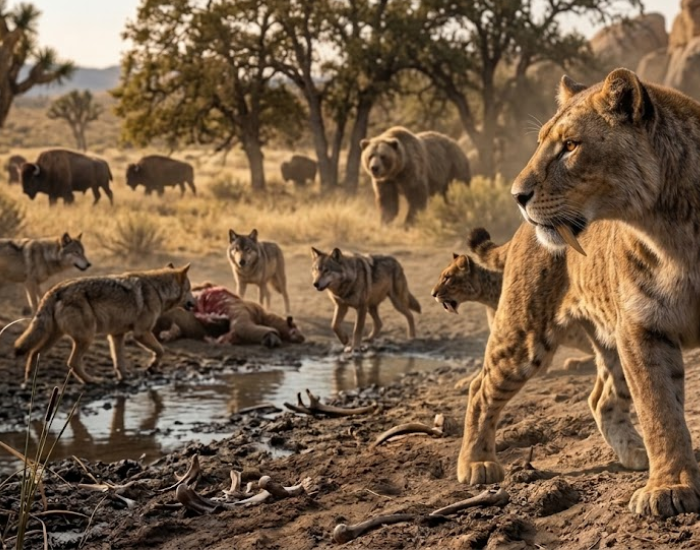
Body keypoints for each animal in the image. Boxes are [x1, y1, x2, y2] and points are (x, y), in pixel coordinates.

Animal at [14, 264, 194, 385]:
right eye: (190, 289)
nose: (195, 303)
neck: (158, 290)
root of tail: (56, 290)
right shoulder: (141, 333)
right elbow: (161, 350)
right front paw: (151, 367)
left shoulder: (116, 335)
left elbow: (119, 362)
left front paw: (124, 379)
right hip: (87, 338)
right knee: (72, 363)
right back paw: (92, 381)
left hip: (56, 337)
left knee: (34, 353)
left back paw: (29, 380)